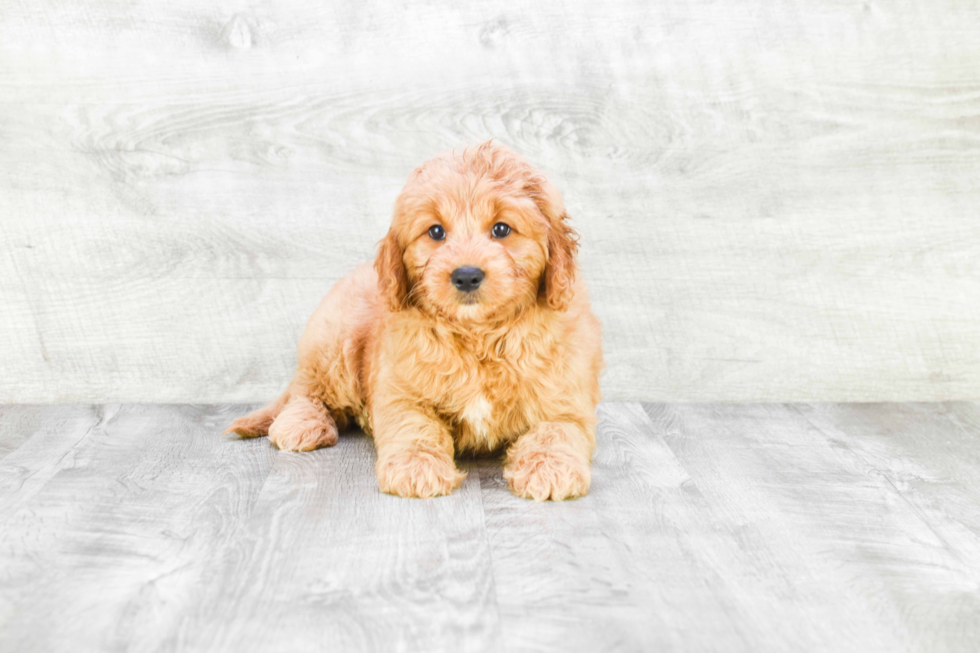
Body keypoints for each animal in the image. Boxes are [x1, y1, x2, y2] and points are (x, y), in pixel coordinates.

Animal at [226, 141, 600, 500]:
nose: (466, 275)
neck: (477, 335)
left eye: (502, 229)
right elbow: (415, 426)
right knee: (307, 391)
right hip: (332, 346)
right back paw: (301, 424)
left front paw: (549, 468)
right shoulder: (400, 391)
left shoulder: (565, 398)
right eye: (435, 232)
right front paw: (417, 467)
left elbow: (557, 430)